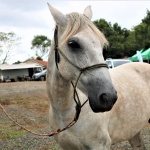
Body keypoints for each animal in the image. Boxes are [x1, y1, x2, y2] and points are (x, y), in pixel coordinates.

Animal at [46, 4, 149, 149]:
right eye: (73, 44)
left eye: (101, 45)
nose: (108, 97)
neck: (65, 112)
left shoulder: (100, 145)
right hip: (134, 131)